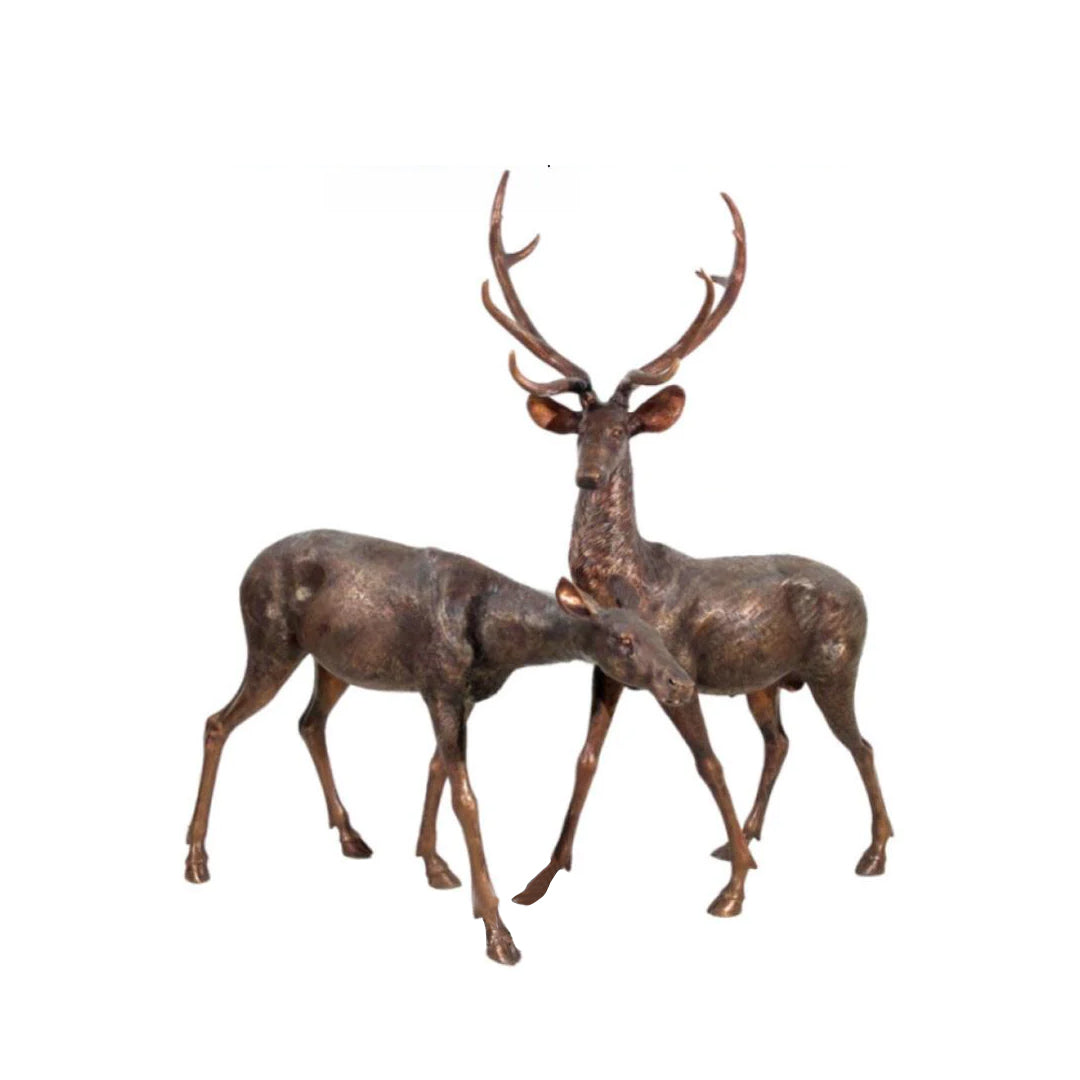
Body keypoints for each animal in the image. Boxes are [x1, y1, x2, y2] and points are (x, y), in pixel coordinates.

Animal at [184, 529, 696, 964]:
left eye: (658, 634)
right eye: (623, 640)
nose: (682, 682)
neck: (499, 641)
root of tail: (246, 575)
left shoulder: (461, 698)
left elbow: (436, 771)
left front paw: (433, 864)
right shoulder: (441, 690)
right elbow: (465, 798)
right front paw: (498, 931)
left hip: (331, 663)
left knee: (309, 722)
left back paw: (349, 834)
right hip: (271, 644)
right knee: (217, 722)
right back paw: (195, 857)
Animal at [481, 172, 893, 919]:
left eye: (624, 432)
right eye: (579, 431)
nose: (587, 475)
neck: (628, 581)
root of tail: (862, 592)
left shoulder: (679, 673)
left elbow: (707, 763)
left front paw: (730, 897)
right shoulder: (607, 668)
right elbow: (585, 760)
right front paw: (539, 879)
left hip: (837, 664)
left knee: (862, 742)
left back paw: (871, 853)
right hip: (766, 680)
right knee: (780, 741)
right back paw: (743, 842)